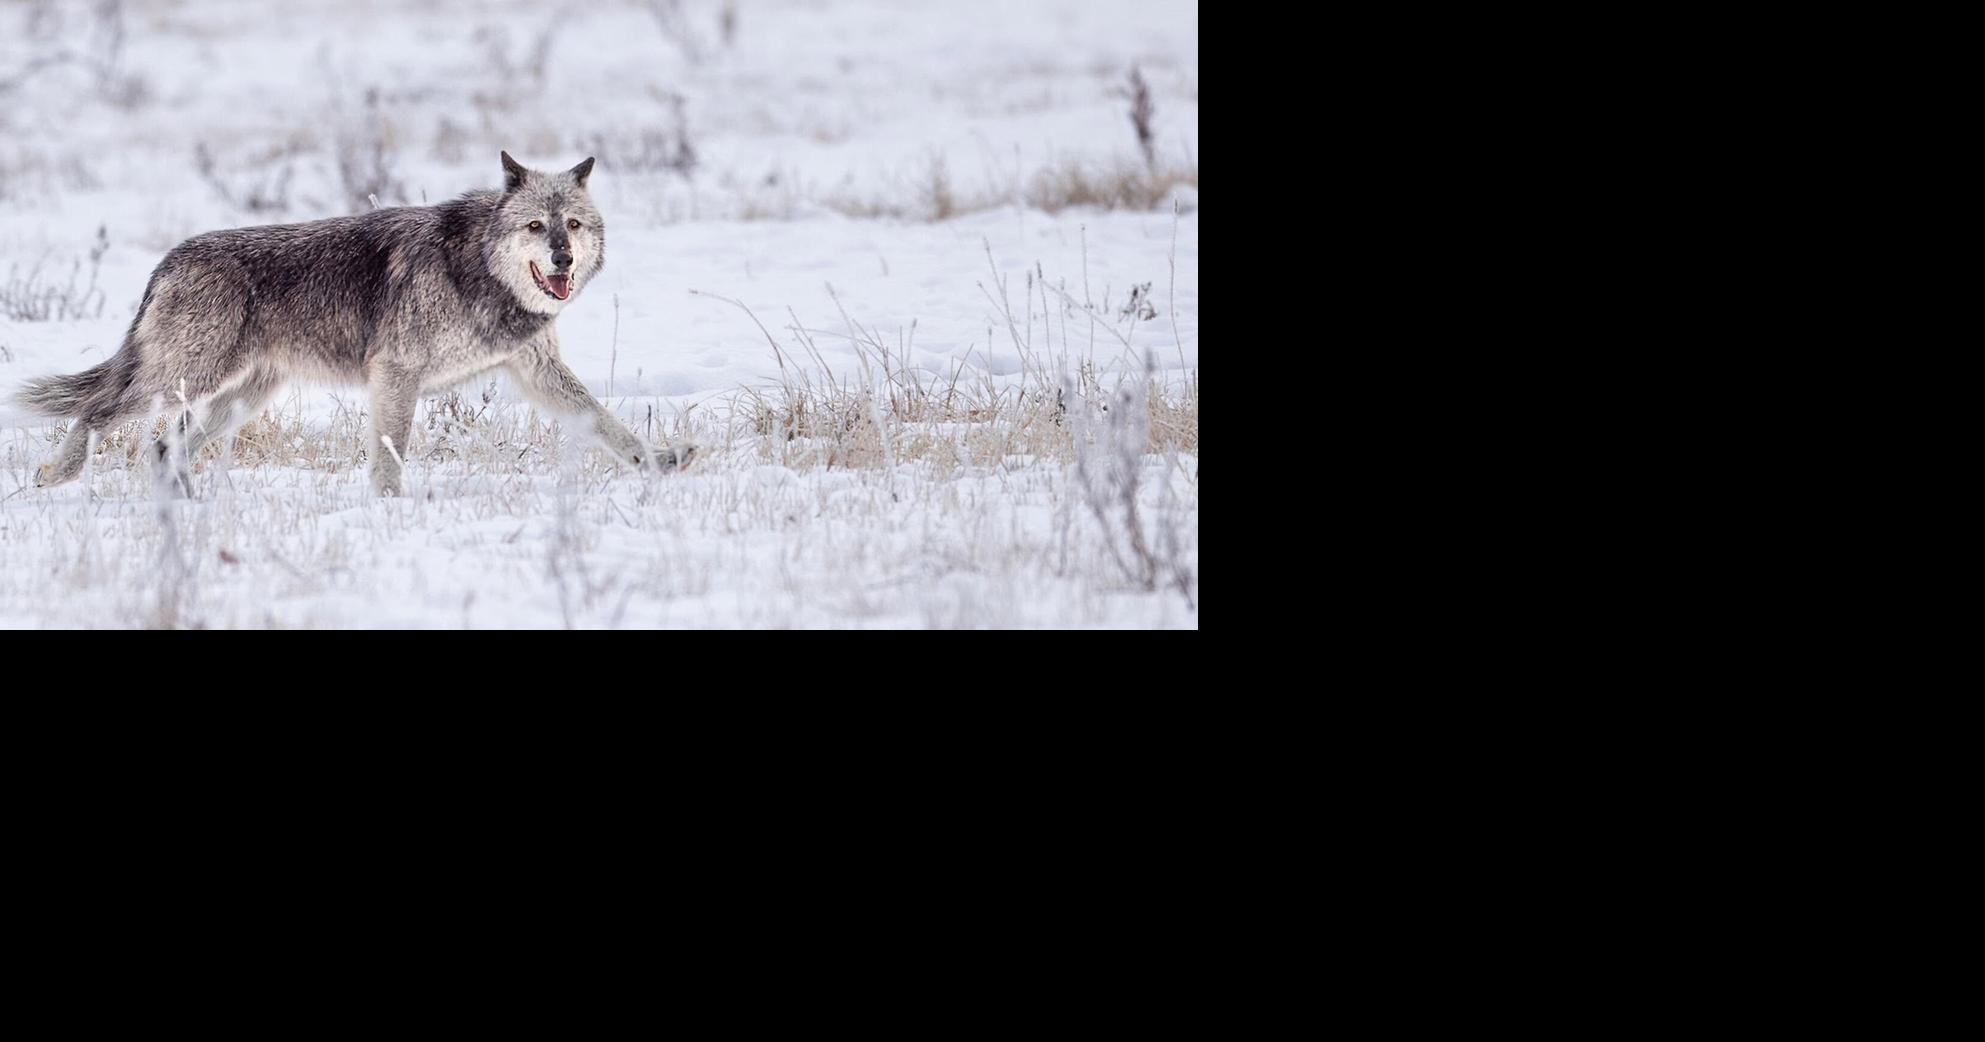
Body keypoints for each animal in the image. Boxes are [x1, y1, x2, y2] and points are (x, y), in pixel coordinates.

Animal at [16, 152, 684, 496]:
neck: (476, 267)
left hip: (239, 398)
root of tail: (169, 259)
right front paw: (389, 508)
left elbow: (605, 422)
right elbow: (391, 452)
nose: (563, 259)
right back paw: (55, 476)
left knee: (161, 446)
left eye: (572, 225)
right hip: (186, 379)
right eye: (534, 227)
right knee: (98, 412)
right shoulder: (396, 374)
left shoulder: (536, 371)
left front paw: (658, 463)